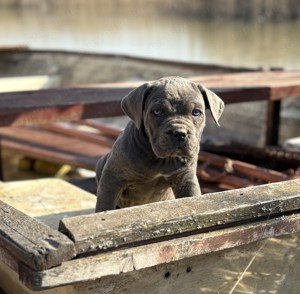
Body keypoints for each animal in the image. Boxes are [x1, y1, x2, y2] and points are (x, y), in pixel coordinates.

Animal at [95, 76, 224, 211]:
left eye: (196, 112)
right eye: (157, 111)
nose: (179, 133)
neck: (160, 160)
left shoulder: (186, 180)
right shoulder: (112, 177)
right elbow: (105, 205)